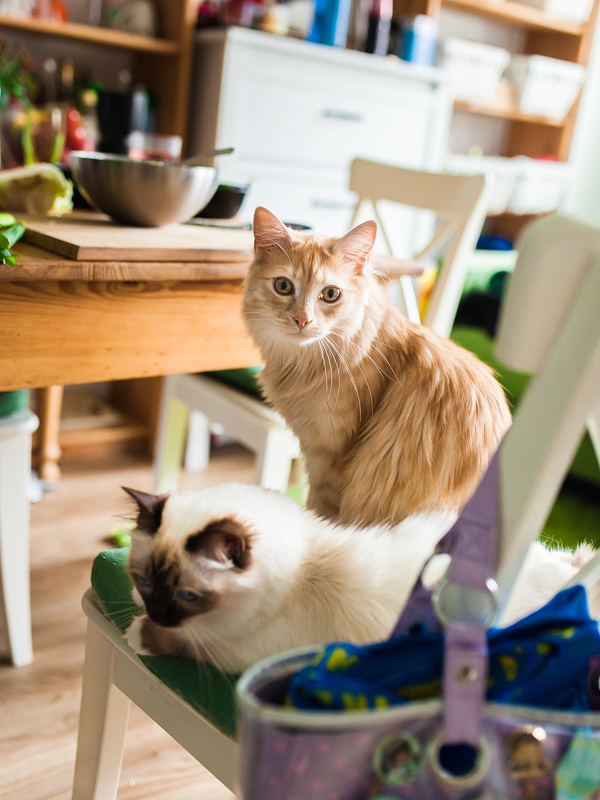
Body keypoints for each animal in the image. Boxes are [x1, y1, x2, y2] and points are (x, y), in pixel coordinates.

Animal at [124, 484, 596, 672]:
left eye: (188, 595)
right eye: (145, 581)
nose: (157, 612)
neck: (304, 569)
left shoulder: (230, 652)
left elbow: (178, 643)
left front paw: (138, 634)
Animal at [241, 209, 512, 528]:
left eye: (330, 294)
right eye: (283, 286)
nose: (302, 320)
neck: (302, 362)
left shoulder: (328, 460)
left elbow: (317, 513)